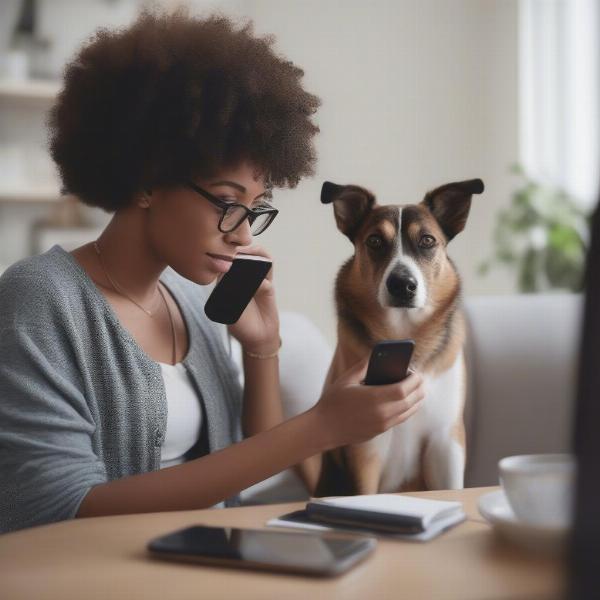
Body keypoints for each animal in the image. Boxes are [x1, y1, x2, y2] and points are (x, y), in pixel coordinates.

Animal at [316, 178, 486, 496]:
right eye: (374, 241)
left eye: (428, 241)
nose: (402, 285)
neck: (405, 333)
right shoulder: (364, 447)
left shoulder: (446, 441)